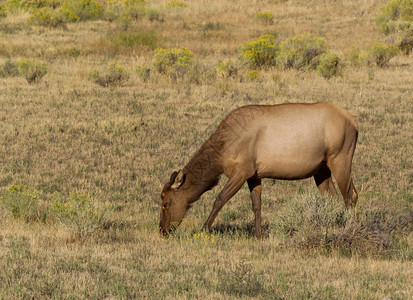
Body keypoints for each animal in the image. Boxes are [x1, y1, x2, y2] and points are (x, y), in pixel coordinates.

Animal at [159, 102, 356, 238]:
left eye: (166, 203)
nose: (162, 230)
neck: (222, 151)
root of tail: (354, 123)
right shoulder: (254, 175)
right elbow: (256, 204)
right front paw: (258, 235)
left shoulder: (241, 171)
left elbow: (220, 199)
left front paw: (204, 229)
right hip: (321, 169)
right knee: (332, 198)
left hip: (341, 158)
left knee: (350, 196)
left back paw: (350, 229)